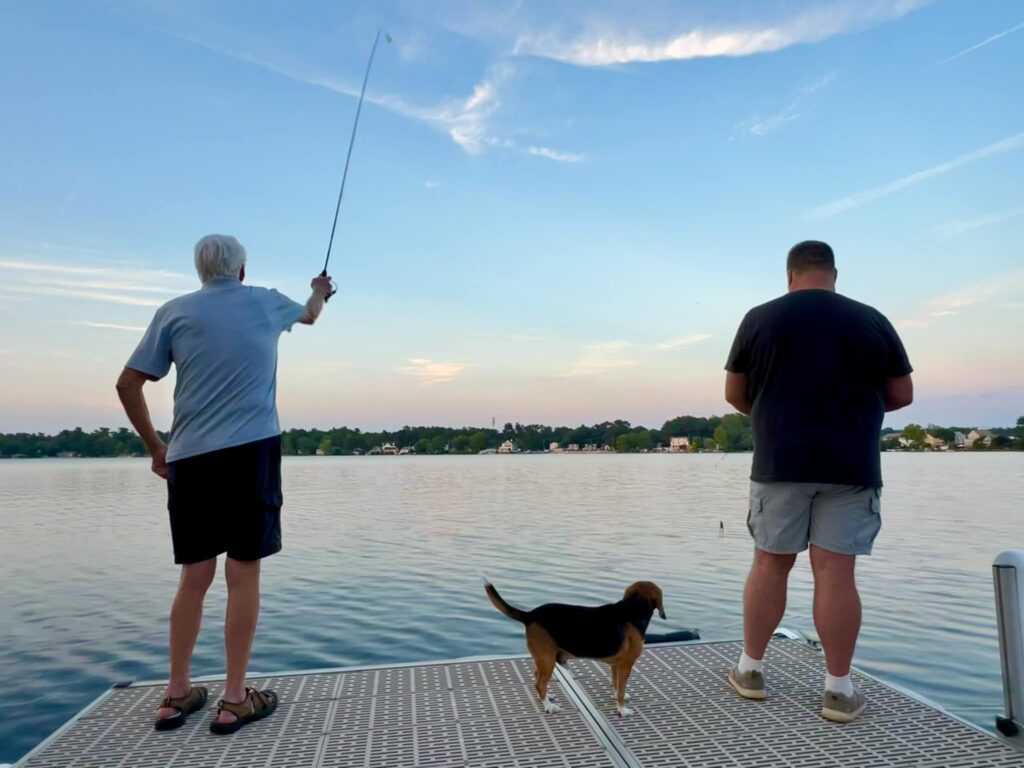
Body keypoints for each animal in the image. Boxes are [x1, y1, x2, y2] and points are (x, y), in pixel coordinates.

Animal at [485, 581, 667, 720]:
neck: (631, 609)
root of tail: (530, 615)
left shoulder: (616, 665)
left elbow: (616, 685)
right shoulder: (626, 665)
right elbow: (621, 690)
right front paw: (622, 710)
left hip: (544, 660)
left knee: (538, 679)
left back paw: (547, 698)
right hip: (547, 659)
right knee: (539, 684)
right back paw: (549, 707)